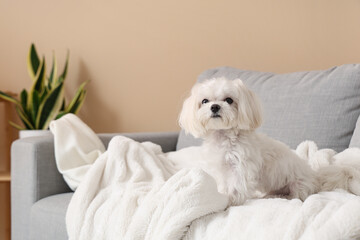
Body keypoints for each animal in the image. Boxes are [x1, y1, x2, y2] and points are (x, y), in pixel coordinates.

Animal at [179, 78, 320, 205]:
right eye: (204, 101)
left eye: (229, 100)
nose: (214, 106)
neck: (224, 136)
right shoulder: (221, 169)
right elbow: (224, 185)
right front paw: (222, 195)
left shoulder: (241, 167)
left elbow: (236, 187)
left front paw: (230, 201)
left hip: (299, 185)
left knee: (297, 194)